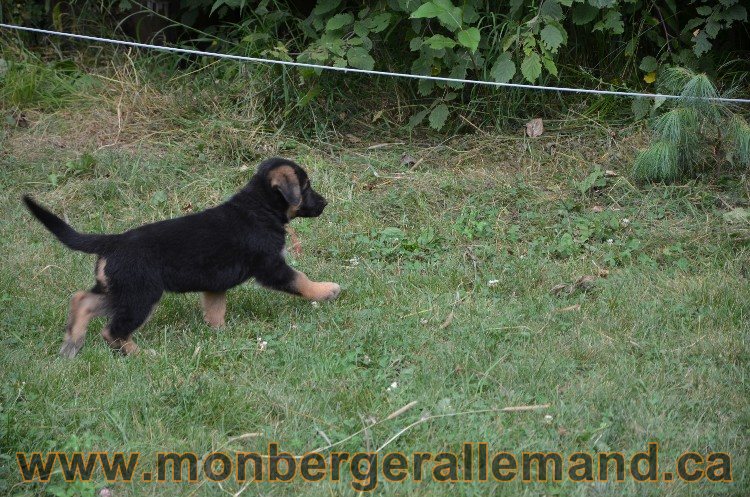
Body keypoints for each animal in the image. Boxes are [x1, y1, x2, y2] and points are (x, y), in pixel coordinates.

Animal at [22, 157, 340, 354]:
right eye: (306, 186)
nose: (325, 203)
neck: (259, 206)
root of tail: (114, 242)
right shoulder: (271, 266)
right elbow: (301, 280)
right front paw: (326, 290)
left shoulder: (215, 284)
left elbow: (215, 310)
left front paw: (219, 333)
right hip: (141, 294)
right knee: (113, 331)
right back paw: (139, 354)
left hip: (120, 289)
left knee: (82, 300)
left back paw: (73, 342)